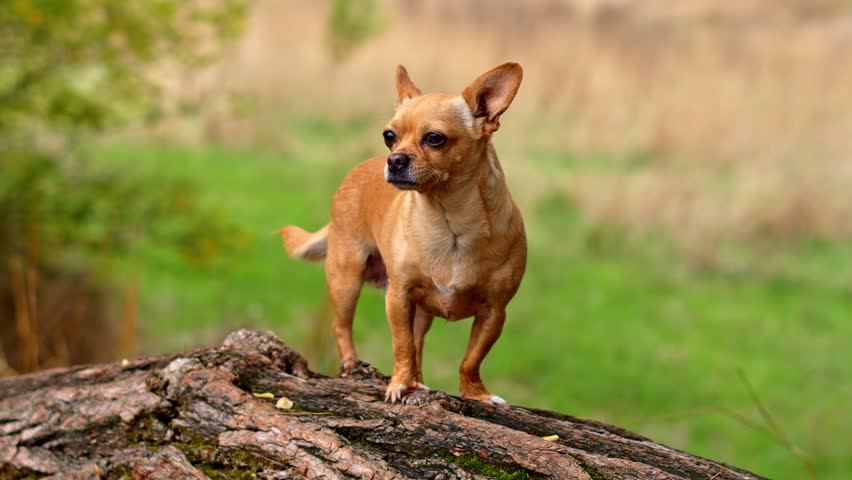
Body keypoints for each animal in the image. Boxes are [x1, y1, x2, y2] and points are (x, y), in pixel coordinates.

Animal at [280, 62, 524, 404]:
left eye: (435, 139)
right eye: (389, 136)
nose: (394, 159)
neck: (449, 222)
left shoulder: (494, 313)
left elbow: (471, 359)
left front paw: (477, 394)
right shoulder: (398, 297)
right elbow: (402, 345)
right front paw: (398, 384)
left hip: (421, 312)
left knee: (419, 342)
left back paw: (418, 382)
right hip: (346, 279)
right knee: (342, 325)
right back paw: (353, 365)